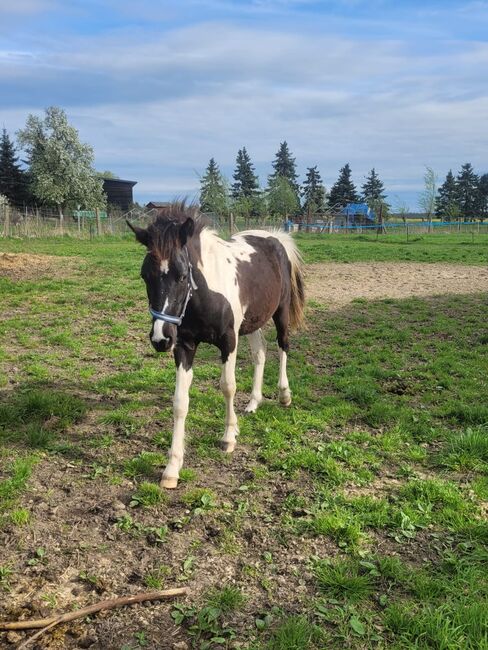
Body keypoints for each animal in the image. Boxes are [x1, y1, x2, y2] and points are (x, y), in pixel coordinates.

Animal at [127, 204, 304, 486]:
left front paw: (229, 437)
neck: (204, 295)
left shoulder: (228, 341)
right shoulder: (184, 346)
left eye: (182, 275)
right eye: (145, 275)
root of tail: (275, 238)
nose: (161, 339)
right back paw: (254, 402)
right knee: (260, 353)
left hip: (281, 312)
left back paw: (284, 395)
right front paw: (172, 467)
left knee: (283, 345)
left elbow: (228, 386)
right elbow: (180, 402)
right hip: (252, 321)